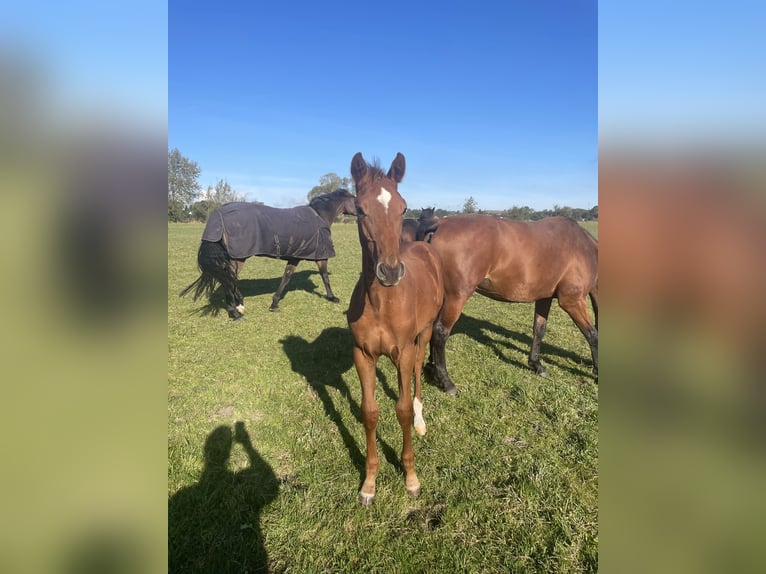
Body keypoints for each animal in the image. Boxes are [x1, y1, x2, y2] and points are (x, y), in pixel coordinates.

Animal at [182, 191, 358, 322]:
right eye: (356, 200)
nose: (362, 213)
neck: (320, 216)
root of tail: (218, 215)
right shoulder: (321, 256)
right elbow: (325, 277)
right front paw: (332, 298)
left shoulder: (295, 257)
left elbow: (286, 278)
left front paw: (274, 303)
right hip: (238, 258)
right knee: (228, 280)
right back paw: (235, 312)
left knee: (228, 278)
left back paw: (239, 304)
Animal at [346, 151, 444, 506]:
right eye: (360, 209)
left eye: (403, 208)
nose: (389, 271)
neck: (381, 304)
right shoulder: (362, 354)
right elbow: (370, 412)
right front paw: (369, 483)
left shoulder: (402, 351)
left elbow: (400, 410)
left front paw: (411, 478)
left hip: (423, 333)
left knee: (416, 371)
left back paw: (420, 420)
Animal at [420, 215, 600, 396]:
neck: (585, 249)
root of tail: (439, 225)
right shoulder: (572, 301)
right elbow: (592, 335)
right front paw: (597, 373)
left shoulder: (544, 298)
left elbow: (539, 330)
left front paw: (536, 365)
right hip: (457, 297)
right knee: (440, 332)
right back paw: (446, 381)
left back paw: (432, 368)